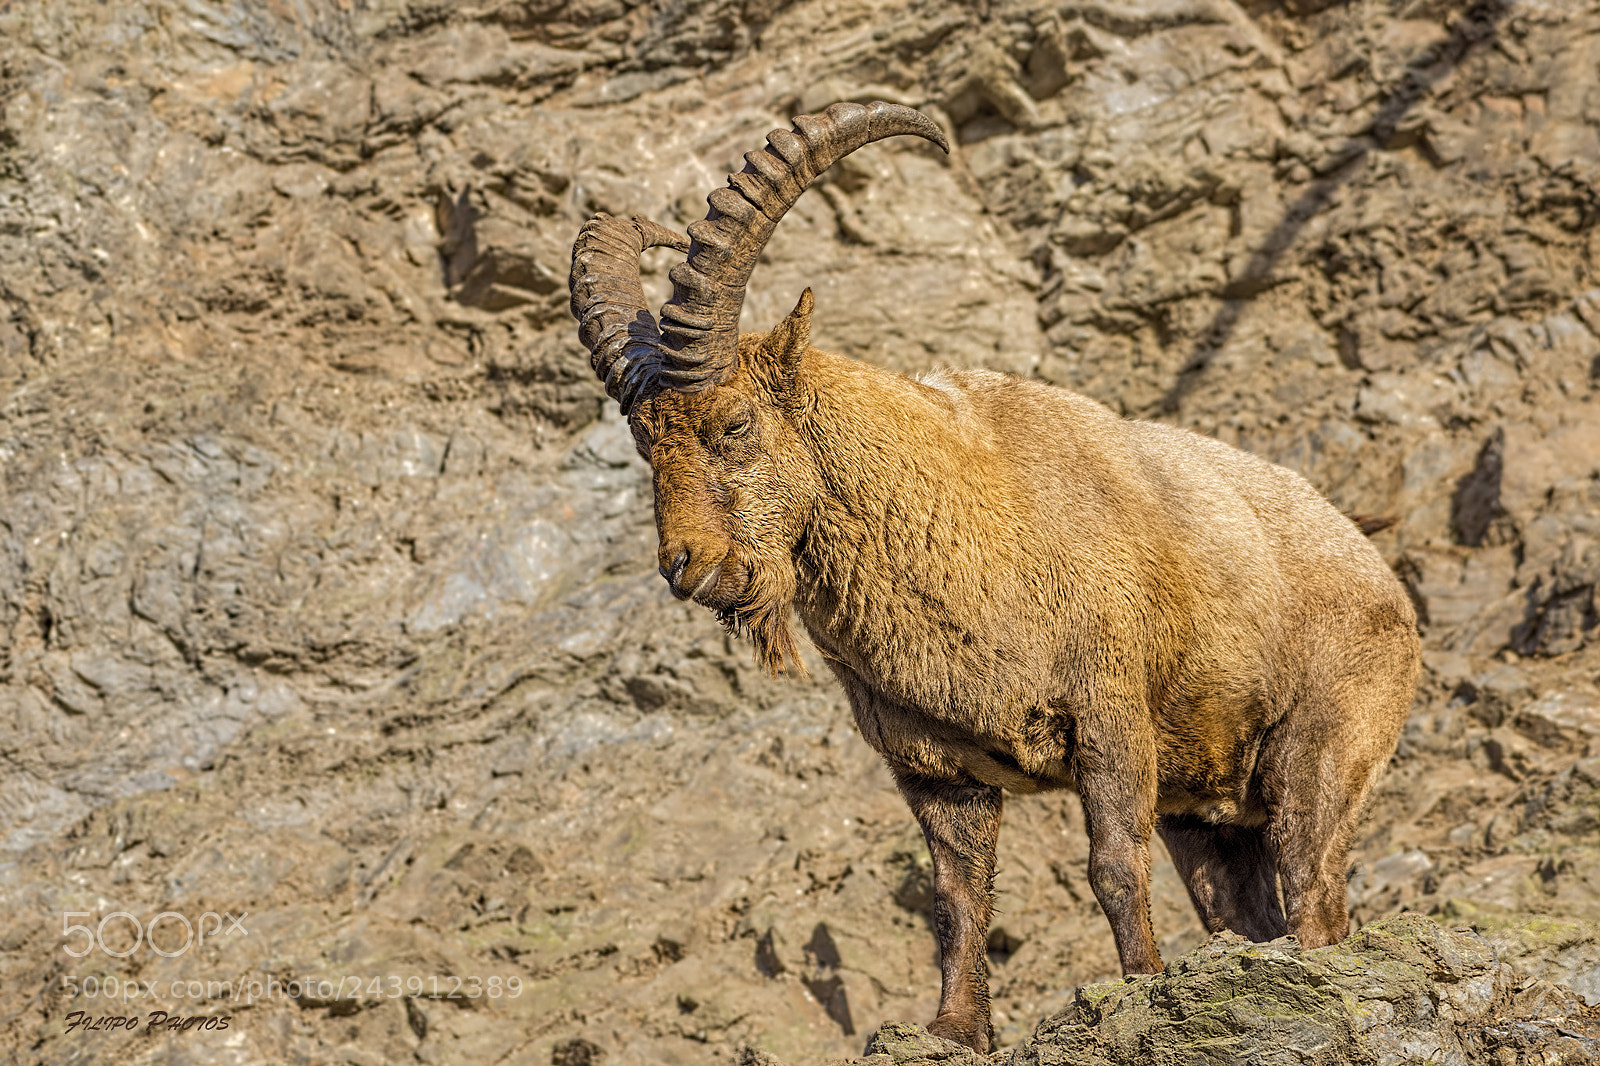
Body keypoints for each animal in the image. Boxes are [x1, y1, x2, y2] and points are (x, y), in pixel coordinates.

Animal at [569, 102, 1421, 1053]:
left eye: (735, 423)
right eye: (645, 444)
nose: (690, 567)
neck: (968, 529)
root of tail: (1376, 568)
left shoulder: (1108, 712)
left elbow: (1112, 864)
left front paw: (1139, 987)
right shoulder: (933, 769)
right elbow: (954, 901)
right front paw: (953, 1028)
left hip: (1325, 748)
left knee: (1314, 893)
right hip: (1204, 811)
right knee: (1245, 911)